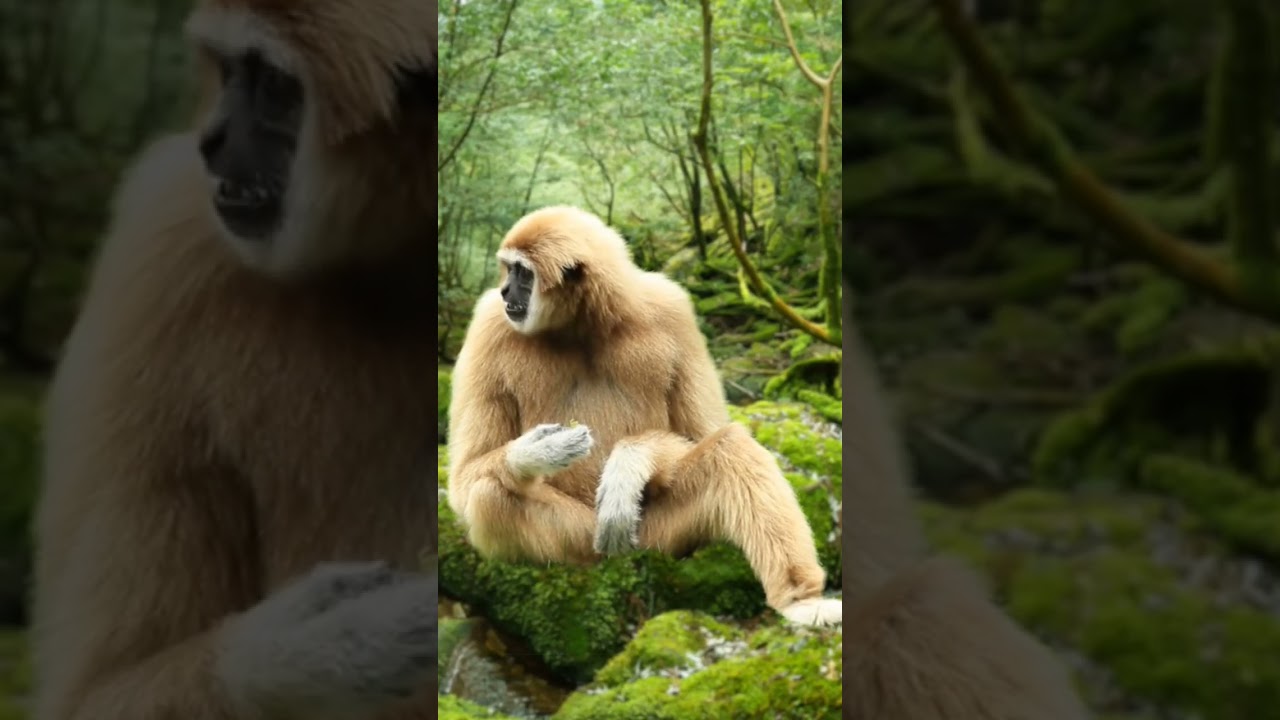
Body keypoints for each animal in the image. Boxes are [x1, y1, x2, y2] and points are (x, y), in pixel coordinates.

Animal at [30, 2, 441, 719]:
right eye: (228, 70)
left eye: (273, 84)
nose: (212, 140)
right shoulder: (162, 252)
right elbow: (92, 695)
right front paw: (323, 647)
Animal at [446, 205, 842, 626]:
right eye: (509, 271)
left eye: (522, 273)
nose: (505, 291)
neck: (580, 326)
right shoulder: (489, 325)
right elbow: (465, 475)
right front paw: (539, 450)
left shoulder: (671, 308)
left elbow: (704, 431)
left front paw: (630, 461)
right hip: (581, 536)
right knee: (489, 494)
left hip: (655, 532)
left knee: (732, 448)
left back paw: (800, 600)